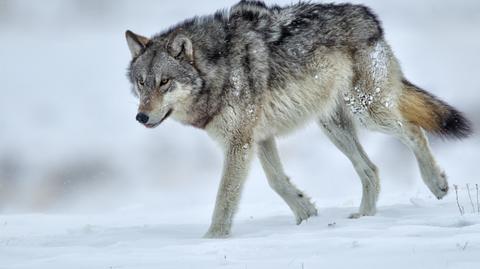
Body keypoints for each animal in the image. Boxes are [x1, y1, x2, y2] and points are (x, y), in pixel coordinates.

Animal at [124, 0, 472, 237]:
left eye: (164, 82)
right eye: (141, 83)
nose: (141, 116)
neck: (216, 71)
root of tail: (367, 15)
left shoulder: (240, 142)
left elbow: (225, 197)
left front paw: (212, 239)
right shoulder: (259, 137)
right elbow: (277, 181)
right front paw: (307, 216)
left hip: (369, 113)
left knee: (414, 130)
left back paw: (436, 183)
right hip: (334, 126)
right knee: (371, 169)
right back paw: (365, 219)